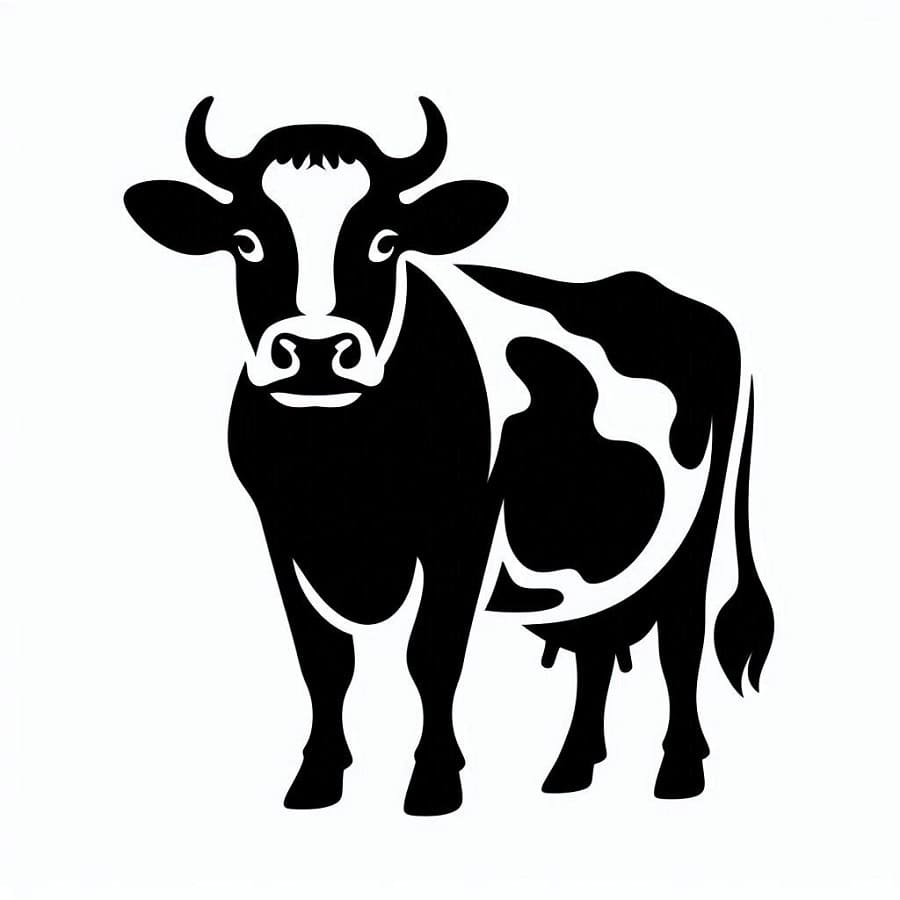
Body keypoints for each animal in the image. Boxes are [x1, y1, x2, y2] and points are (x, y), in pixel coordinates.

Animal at [124, 96, 774, 816]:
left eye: (384, 242)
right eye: (247, 241)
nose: (317, 352)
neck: (340, 454)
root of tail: (688, 308)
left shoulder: (461, 527)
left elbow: (430, 653)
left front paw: (434, 780)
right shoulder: (282, 530)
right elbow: (324, 659)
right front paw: (318, 776)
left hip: (692, 537)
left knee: (680, 639)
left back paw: (679, 771)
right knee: (594, 644)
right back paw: (570, 769)